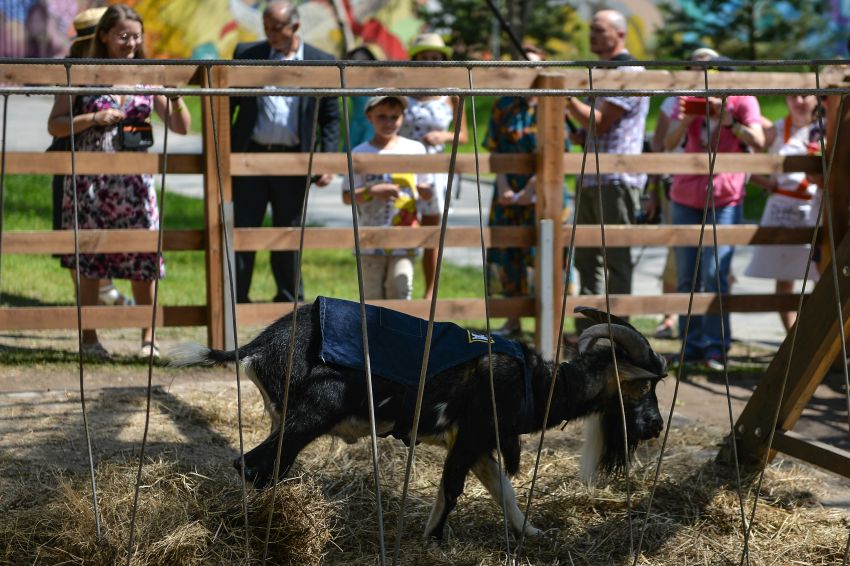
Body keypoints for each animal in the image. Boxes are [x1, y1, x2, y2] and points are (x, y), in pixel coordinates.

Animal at [169, 298, 664, 540]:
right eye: (644, 386)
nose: (656, 426)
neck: (535, 382)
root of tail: (255, 346)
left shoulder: (475, 444)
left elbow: (502, 492)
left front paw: (534, 534)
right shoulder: (471, 436)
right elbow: (452, 490)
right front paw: (433, 539)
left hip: (284, 418)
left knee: (265, 466)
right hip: (309, 417)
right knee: (251, 465)